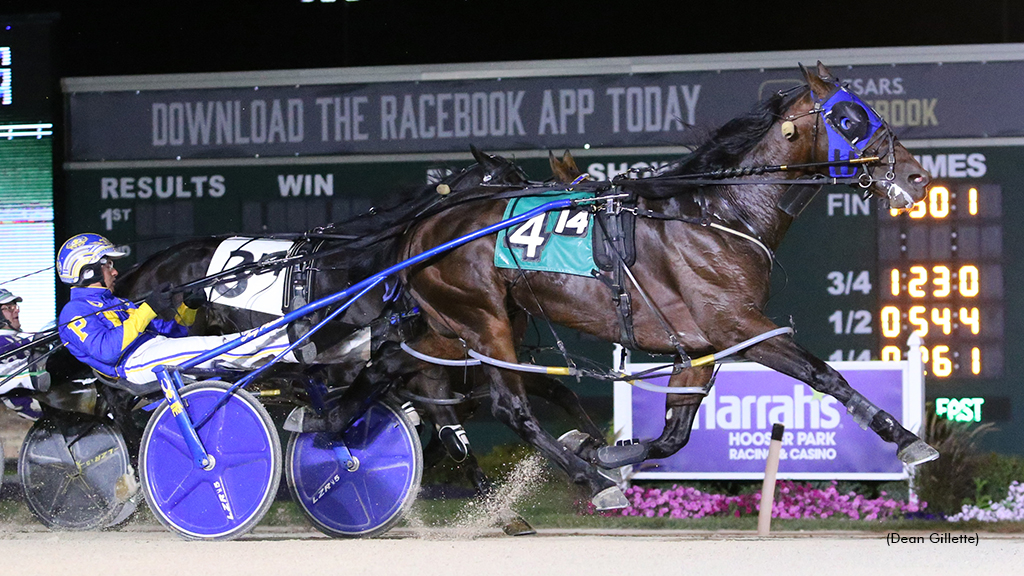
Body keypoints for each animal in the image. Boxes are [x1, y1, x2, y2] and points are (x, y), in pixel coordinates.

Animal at [395, 61, 937, 506]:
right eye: (850, 119)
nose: (917, 178)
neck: (721, 213)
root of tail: (423, 226)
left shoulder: (700, 345)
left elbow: (675, 432)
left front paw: (603, 450)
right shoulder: (738, 325)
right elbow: (824, 375)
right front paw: (907, 439)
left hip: (470, 324)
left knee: (427, 376)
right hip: (484, 320)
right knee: (511, 409)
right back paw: (593, 485)